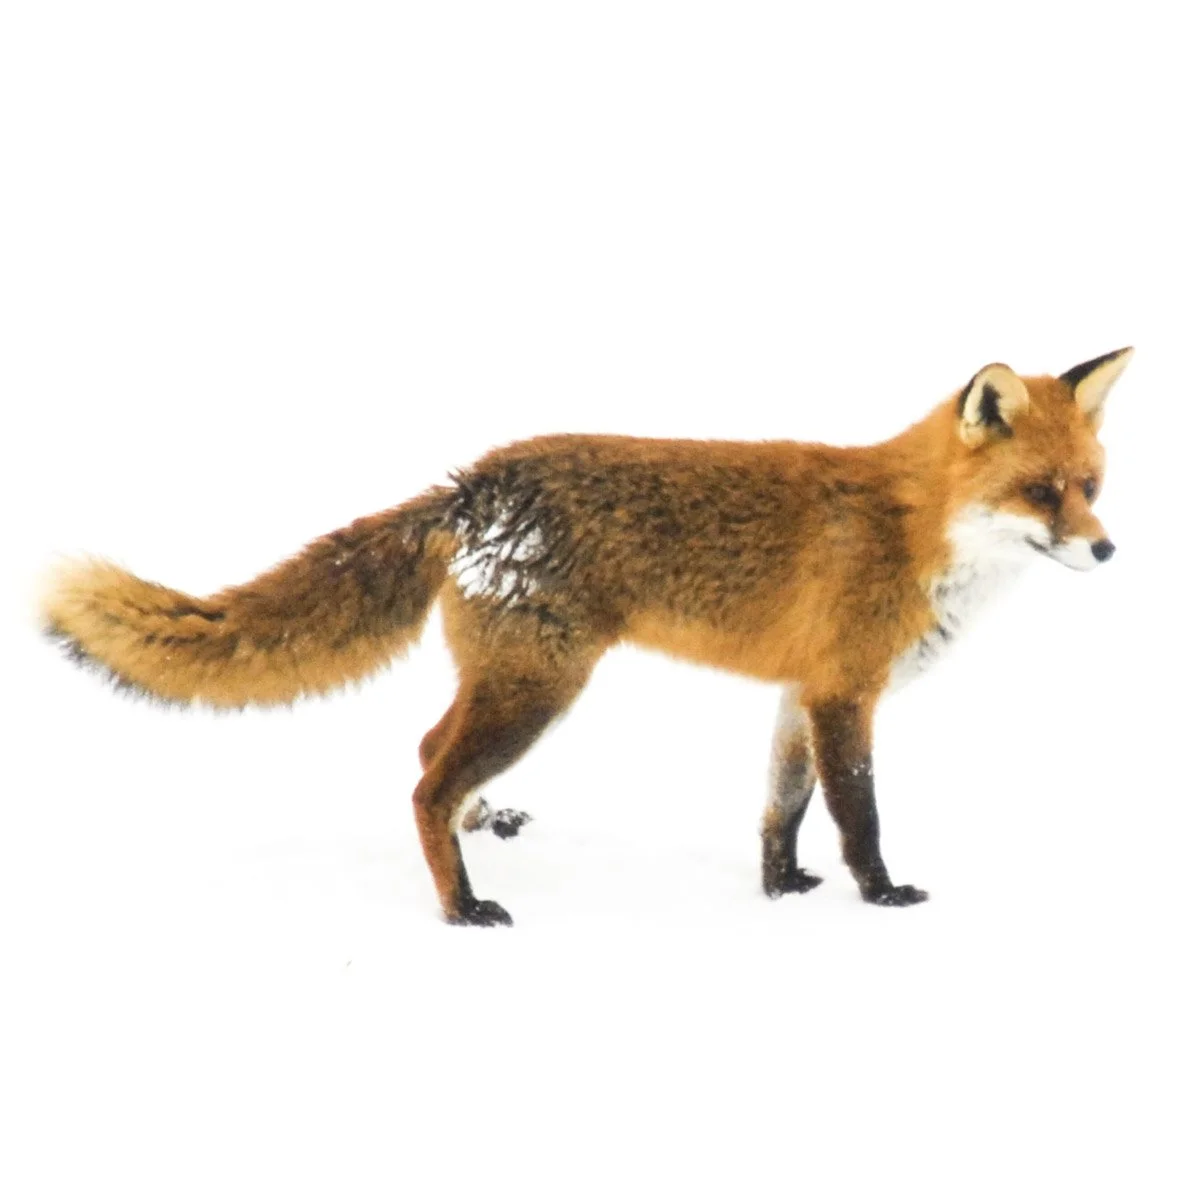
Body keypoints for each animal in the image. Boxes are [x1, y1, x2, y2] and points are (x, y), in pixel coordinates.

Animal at [42, 348, 1131, 926]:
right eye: (1042, 493)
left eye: (1091, 486)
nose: (1110, 549)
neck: (916, 530)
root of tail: (470, 486)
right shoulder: (844, 693)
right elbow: (857, 814)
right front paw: (882, 896)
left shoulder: (800, 693)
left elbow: (781, 809)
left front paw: (779, 890)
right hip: (543, 688)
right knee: (426, 780)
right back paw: (462, 908)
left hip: (515, 682)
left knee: (426, 752)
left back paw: (485, 828)